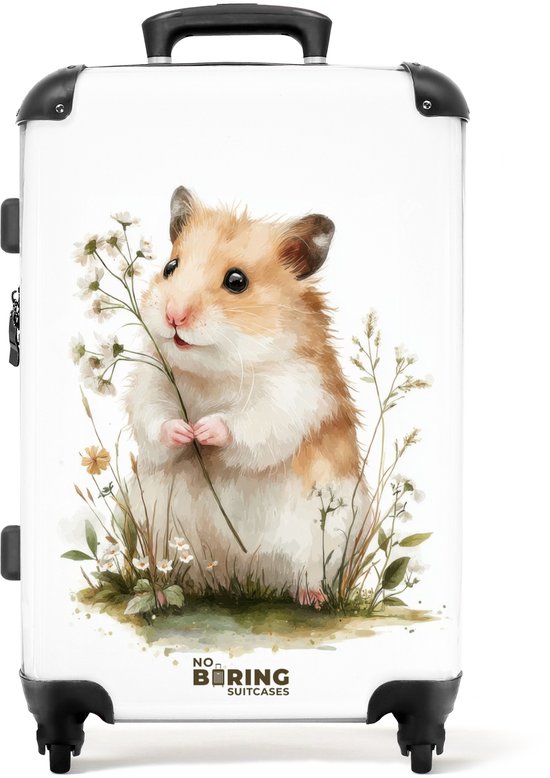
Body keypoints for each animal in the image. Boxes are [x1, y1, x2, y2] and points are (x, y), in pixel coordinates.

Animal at [126, 186, 369, 604]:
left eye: (237, 281)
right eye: (170, 267)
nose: (174, 316)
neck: (213, 372)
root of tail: (237, 577)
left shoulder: (293, 394)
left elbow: (248, 424)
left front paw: (203, 431)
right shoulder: (151, 381)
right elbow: (155, 419)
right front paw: (184, 432)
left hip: (324, 536)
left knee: (307, 573)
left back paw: (313, 598)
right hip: (161, 532)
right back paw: (160, 596)